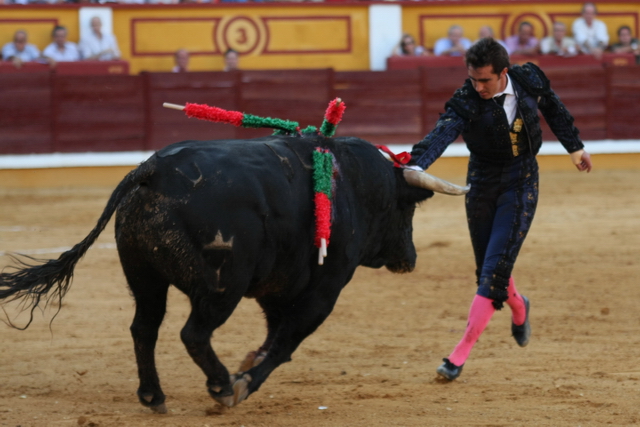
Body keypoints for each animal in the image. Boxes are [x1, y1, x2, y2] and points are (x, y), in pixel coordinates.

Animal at [0, 135, 462, 414]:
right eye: (408, 207)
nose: (410, 257)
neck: (356, 185)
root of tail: (151, 172)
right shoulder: (323, 292)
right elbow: (284, 344)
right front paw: (243, 380)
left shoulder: (278, 291)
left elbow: (274, 337)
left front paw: (247, 365)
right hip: (223, 286)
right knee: (193, 333)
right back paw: (221, 386)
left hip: (143, 276)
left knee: (144, 327)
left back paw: (153, 395)